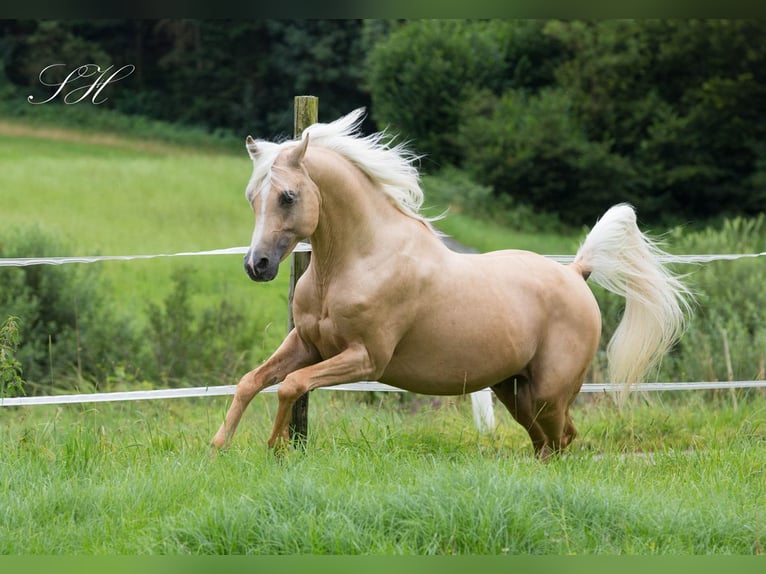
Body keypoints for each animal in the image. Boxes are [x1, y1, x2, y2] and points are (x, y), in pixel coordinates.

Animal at [212, 109, 696, 460]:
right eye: (253, 198)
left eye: (288, 196)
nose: (256, 265)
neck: (355, 263)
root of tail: (575, 272)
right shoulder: (308, 344)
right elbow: (251, 381)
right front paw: (218, 448)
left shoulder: (365, 359)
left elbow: (291, 386)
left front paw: (275, 448)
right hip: (514, 390)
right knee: (550, 442)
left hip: (548, 392)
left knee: (562, 439)